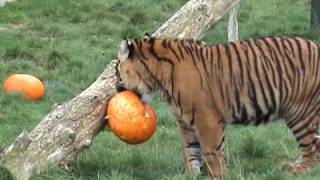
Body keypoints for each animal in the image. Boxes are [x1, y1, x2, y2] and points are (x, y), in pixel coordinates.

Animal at [115, 34, 320, 179]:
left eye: (116, 71)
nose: (116, 89)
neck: (158, 78)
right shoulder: (185, 122)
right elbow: (191, 152)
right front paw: (191, 176)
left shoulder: (206, 120)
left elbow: (211, 153)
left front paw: (217, 176)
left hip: (300, 113)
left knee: (312, 150)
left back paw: (295, 170)